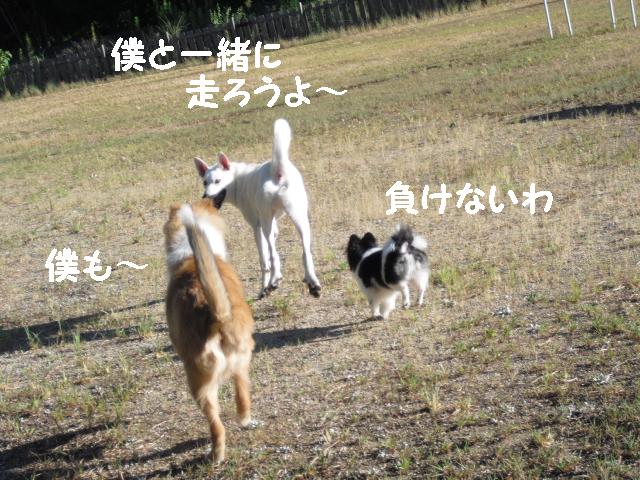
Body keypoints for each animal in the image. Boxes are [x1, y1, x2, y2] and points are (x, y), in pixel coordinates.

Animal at [164, 197, 255, 463]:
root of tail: (216, 315)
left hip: (197, 383)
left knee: (216, 425)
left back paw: (216, 455)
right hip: (242, 359)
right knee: (242, 394)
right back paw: (245, 420)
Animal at [194, 118, 321, 299]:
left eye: (218, 181)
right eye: (205, 182)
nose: (205, 196)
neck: (237, 180)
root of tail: (277, 169)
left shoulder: (257, 226)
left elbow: (265, 260)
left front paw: (264, 288)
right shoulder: (274, 226)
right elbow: (269, 256)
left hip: (268, 224)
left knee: (274, 254)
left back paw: (275, 280)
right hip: (300, 219)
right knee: (306, 252)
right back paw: (312, 282)